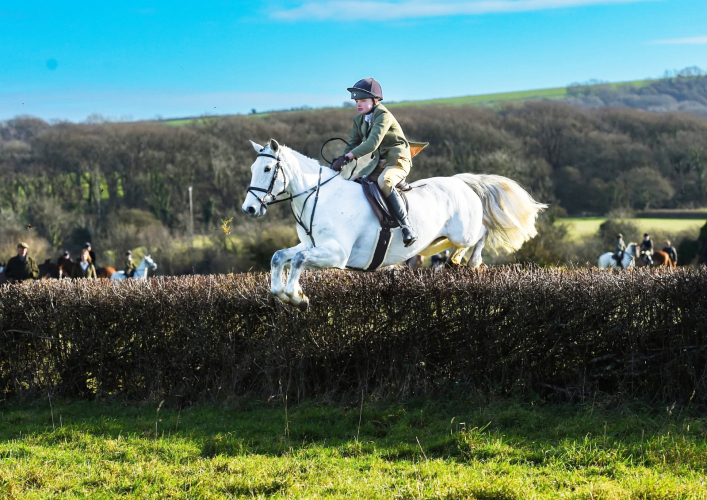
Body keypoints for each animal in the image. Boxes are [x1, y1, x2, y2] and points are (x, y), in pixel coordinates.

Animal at [242, 139, 547, 309]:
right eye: (252, 169)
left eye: (267, 169)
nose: (249, 208)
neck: (319, 196)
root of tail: (461, 181)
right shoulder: (312, 245)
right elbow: (280, 256)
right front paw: (285, 294)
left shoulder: (337, 254)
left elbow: (299, 260)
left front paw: (295, 297)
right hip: (438, 240)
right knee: (453, 247)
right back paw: (456, 261)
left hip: (465, 231)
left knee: (482, 232)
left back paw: (471, 262)